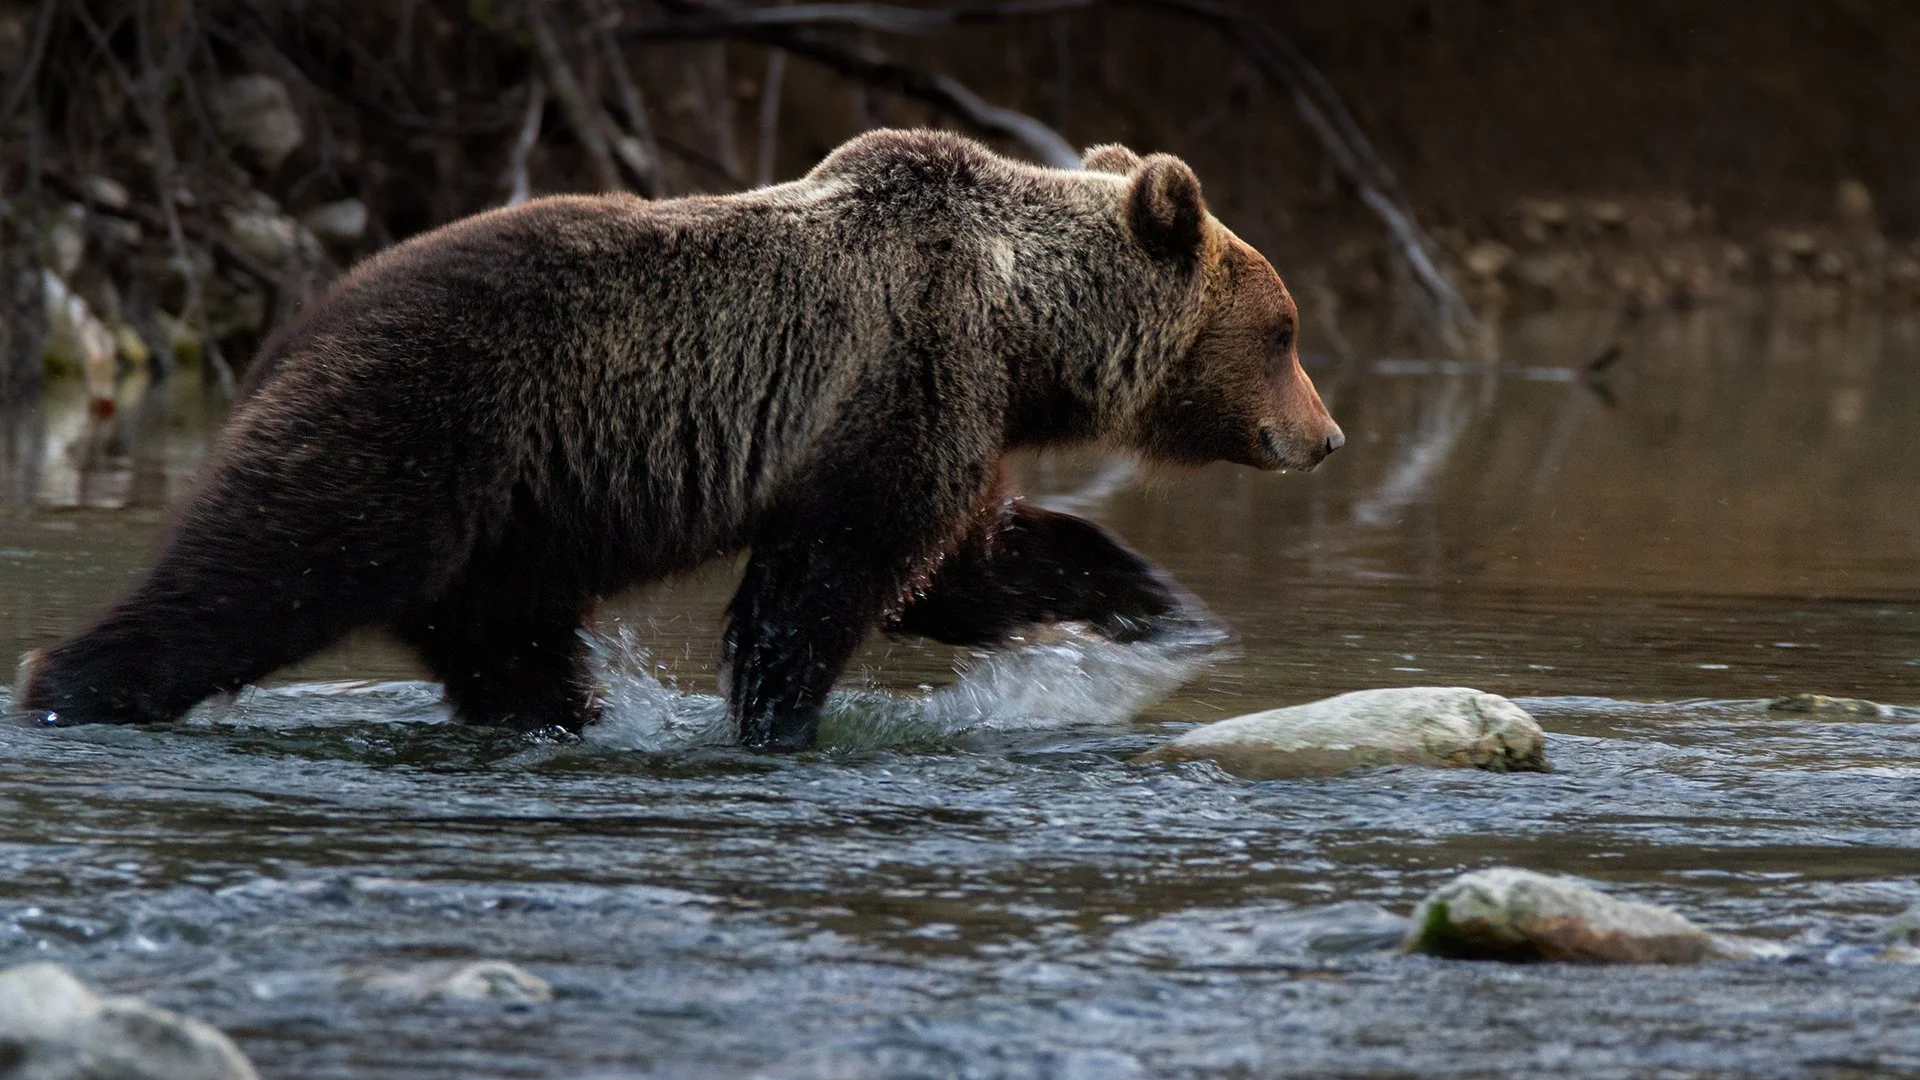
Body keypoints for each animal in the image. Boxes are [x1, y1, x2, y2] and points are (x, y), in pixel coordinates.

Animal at [16, 130, 1343, 750]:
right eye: (1282, 330)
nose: (1324, 435)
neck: (1023, 329)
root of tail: (294, 328)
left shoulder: (939, 409)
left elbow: (968, 563)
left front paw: (1158, 607)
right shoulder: (902, 376)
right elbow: (836, 576)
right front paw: (777, 715)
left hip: (510, 523)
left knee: (506, 646)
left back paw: (563, 722)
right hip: (419, 426)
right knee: (259, 567)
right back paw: (71, 685)